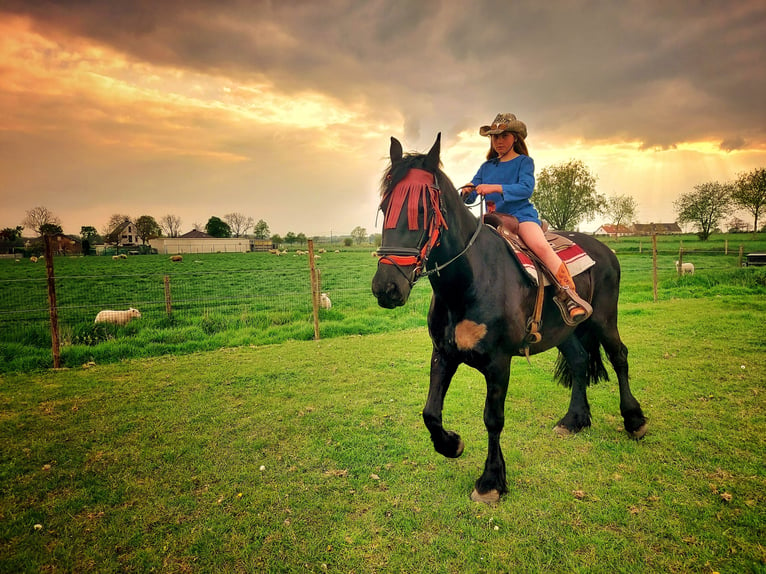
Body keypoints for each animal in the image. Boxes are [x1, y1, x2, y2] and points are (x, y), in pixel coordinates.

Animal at [372, 135, 648, 504]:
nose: (386, 287)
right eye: (385, 208)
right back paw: (573, 420)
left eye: (423, 210)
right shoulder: (443, 353)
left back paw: (634, 420)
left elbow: (493, 419)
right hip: (566, 331)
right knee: (578, 362)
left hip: (604, 320)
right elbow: (430, 412)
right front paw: (452, 444)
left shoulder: (498, 362)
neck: (470, 281)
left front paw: (490, 481)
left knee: (619, 357)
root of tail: (604, 249)